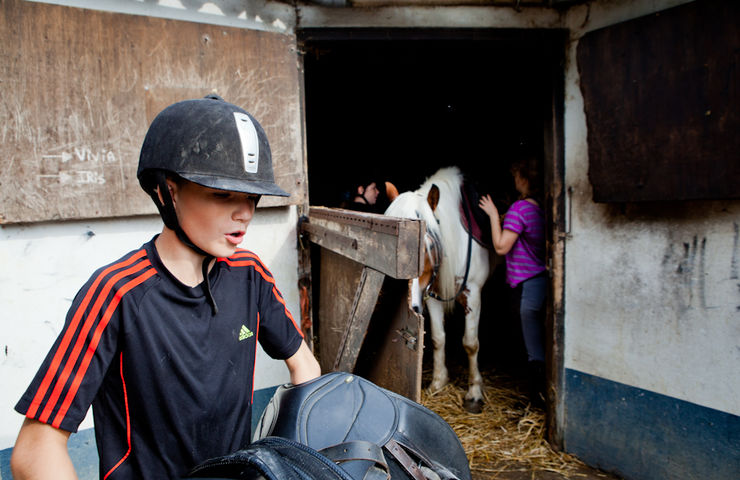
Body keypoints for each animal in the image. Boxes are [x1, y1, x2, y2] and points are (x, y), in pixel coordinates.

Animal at [384, 166, 494, 412]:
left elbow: (470, 343)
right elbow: (437, 338)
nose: (412, 305)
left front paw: (474, 393)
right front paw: (438, 382)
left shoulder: (473, 293)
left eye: (428, 246)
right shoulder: (432, 295)